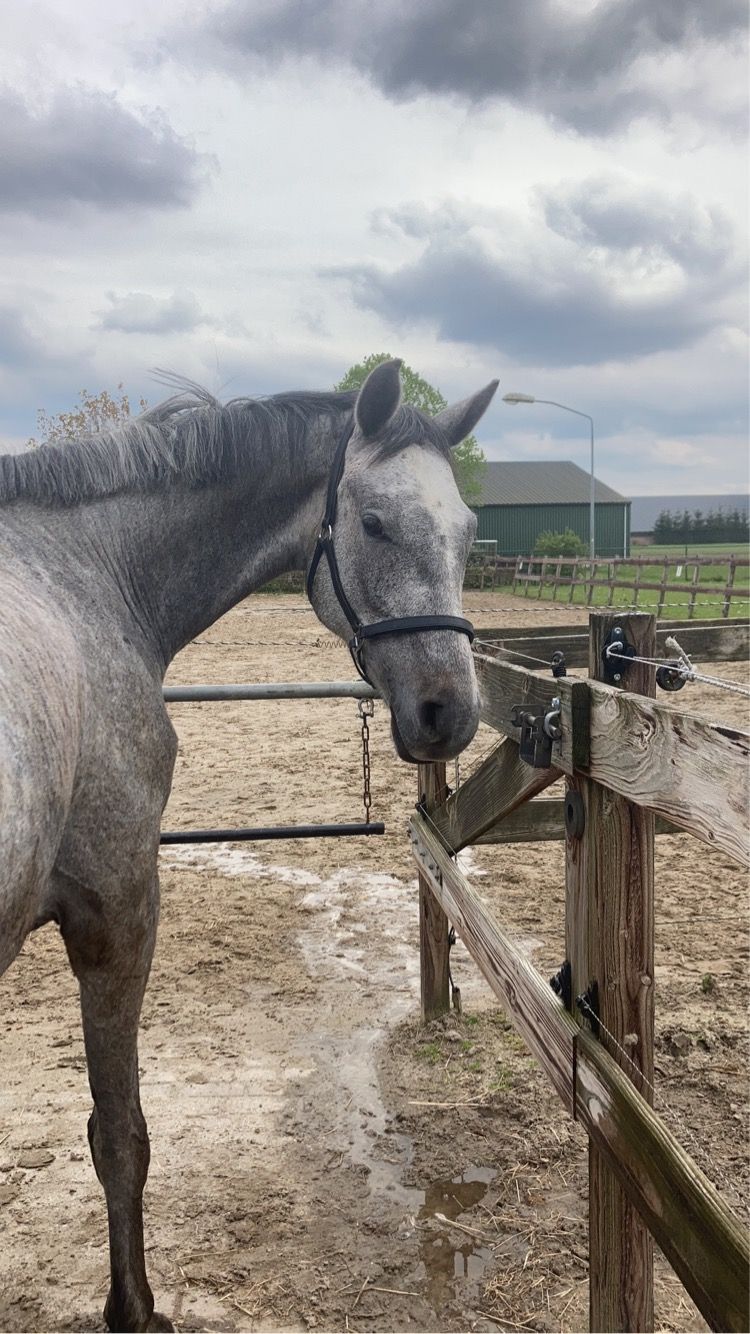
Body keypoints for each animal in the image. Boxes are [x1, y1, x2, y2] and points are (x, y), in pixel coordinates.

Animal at [0, 357, 497, 1331]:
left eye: (466, 531)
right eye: (375, 523)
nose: (449, 714)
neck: (84, 574)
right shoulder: (116, 913)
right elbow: (120, 1135)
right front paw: (134, 1307)